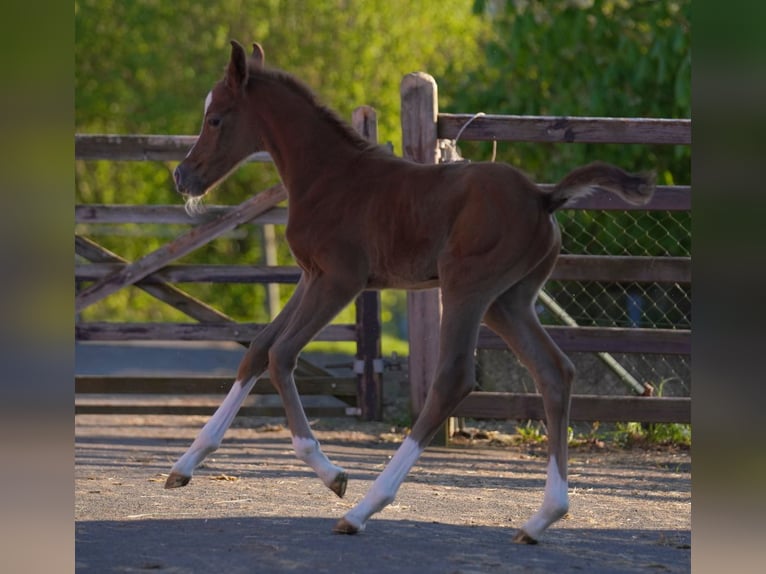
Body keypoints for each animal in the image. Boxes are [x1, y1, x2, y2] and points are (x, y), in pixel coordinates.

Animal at [169, 40, 655, 543]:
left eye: (215, 119)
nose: (182, 176)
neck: (327, 176)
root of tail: (544, 198)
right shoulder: (310, 276)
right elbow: (258, 349)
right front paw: (183, 466)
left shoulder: (341, 279)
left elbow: (282, 355)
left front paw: (332, 474)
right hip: (508, 301)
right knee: (554, 372)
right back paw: (543, 517)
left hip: (465, 287)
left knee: (453, 379)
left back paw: (364, 507)